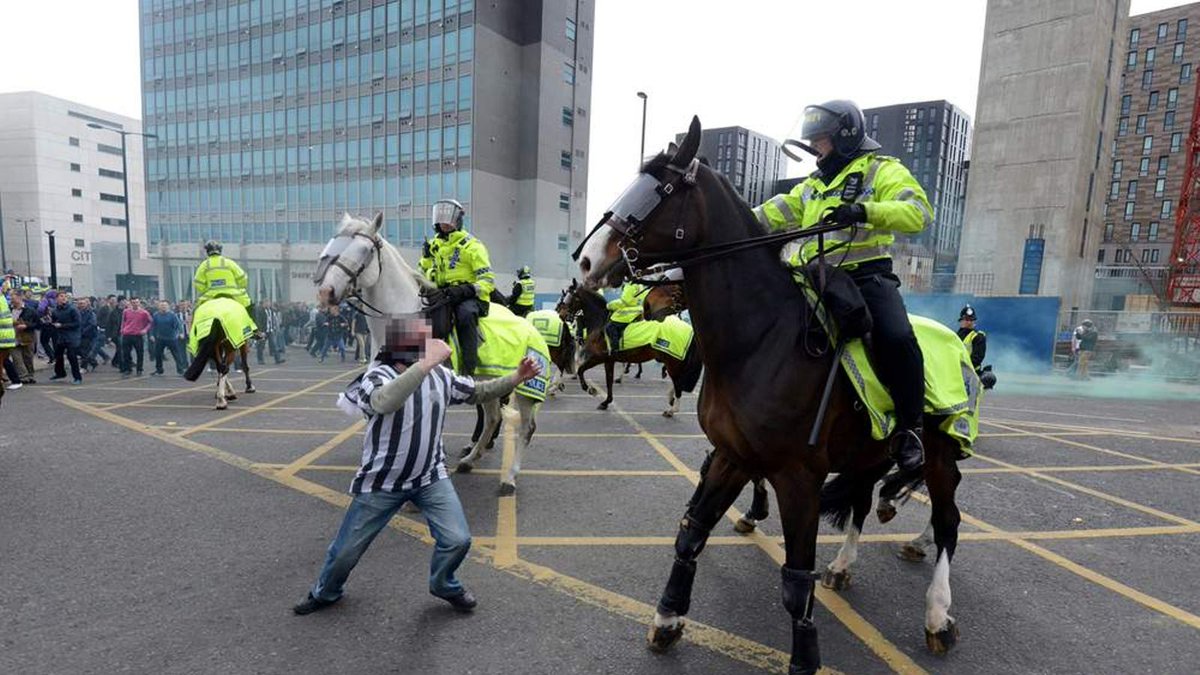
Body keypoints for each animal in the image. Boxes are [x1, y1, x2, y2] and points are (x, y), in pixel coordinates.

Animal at [314, 211, 549, 494]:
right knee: (492, 418)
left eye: (365, 250)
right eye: (334, 244)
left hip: (526, 390)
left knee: (525, 428)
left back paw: (510, 477)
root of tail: (529, 323)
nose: (325, 292)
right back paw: (470, 460)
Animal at [561, 278, 700, 415]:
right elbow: (608, 381)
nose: (562, 315)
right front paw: (606, 402)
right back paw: (670, 399)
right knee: (678, 381)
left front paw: (590, 389)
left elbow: (581, 370)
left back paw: (672, 409)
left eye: (570, 297)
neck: (600, 323)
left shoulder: (598, 357)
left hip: (672, 361)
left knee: (677, 382)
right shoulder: (609, 360)